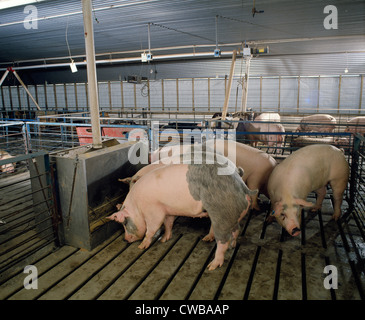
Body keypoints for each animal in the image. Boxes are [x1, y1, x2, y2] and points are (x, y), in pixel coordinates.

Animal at [107, 160, 256, 270]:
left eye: (124, 222)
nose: (125, 239)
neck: (137, 206)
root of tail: (243, 188)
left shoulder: (153, 211)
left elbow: (152, 228)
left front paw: (142, 246)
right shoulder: (167, 210)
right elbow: (168, 223)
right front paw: (164, 240)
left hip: (222, 214)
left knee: (222, 241)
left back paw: (211, 266)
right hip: (233, 217)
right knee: (236, 230)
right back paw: (231, 245)